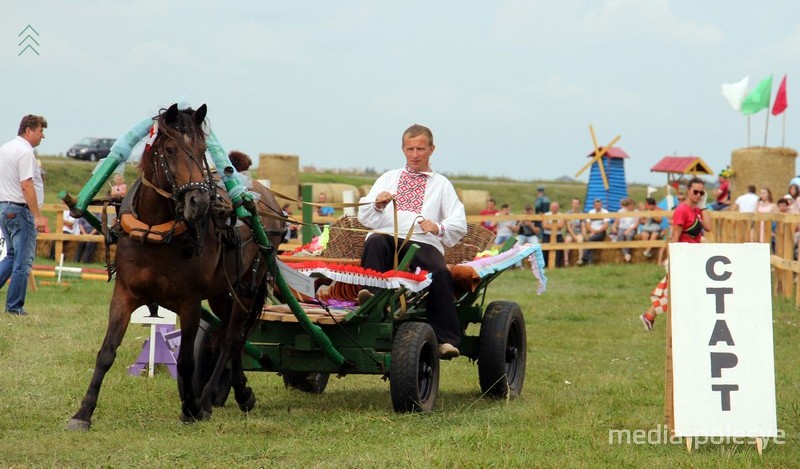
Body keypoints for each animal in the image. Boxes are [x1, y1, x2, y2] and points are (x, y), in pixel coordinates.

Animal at [66, 104, 284, 430]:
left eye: (203, 149)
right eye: (170, 150)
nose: (199, 202)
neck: (154, 232)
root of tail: (264, 195)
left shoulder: (189, 302)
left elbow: (185, 361)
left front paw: (190, 407)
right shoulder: (125, 293)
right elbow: (107, 351)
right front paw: (83, 413)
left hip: (247, 285)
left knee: (232, 338)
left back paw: (207, 399)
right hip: (222, 292)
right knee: (229, 338)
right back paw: (239, 391)